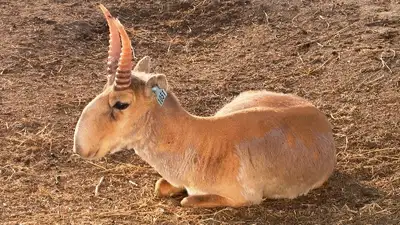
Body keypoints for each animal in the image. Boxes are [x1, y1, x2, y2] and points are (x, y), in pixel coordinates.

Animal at [73, 3, 336, 207]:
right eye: (103, 89)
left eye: (121, 103)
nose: (80, 147)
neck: (200, 140)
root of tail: (316, 114)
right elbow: (161, 185)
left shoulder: (243, 199)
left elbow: (186, 200)